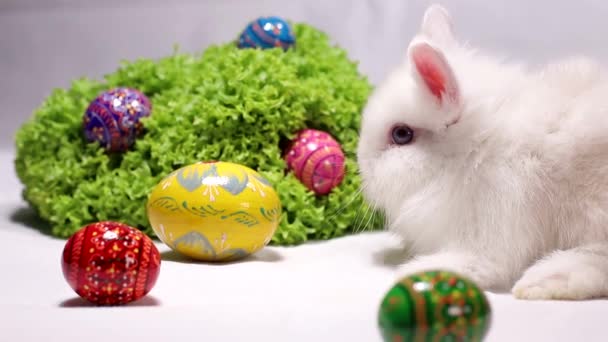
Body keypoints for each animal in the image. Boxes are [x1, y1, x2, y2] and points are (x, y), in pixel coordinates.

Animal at [356, 3, 608, 300]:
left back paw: (544, 280)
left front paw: (417, 270)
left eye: (401, 134)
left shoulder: (495, 220)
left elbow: (481, 263)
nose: (362, 169)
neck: (476, 149)